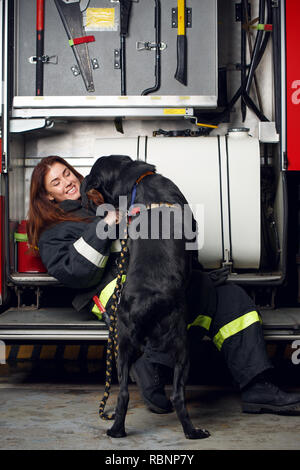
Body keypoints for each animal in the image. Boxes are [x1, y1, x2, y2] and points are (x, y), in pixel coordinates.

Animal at [81, 155, 210, 440]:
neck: (139, 182)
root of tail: (146, 304)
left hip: (122, 347)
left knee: (123, 395)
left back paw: (116, 430)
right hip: (181, 348)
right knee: (177, 396)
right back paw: (193, 432)